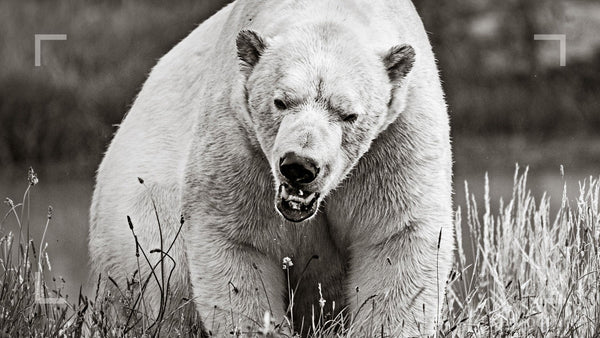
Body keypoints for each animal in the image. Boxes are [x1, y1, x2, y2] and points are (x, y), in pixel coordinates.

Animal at [89, 0, 452, 334]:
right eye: (281, 101)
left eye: (349, 114)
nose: (300, 167)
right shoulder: (238, 136)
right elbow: (238, 245)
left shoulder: (395, 140)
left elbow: (395, 237)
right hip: (136, 205)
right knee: (160, 276)